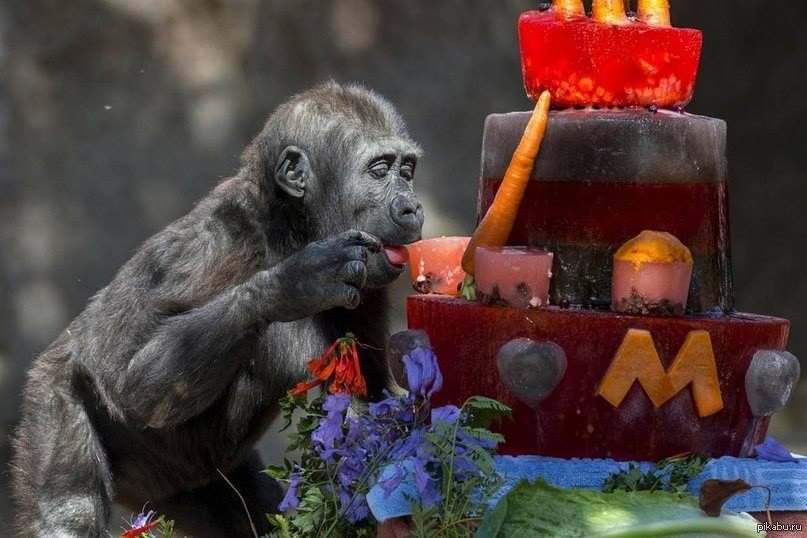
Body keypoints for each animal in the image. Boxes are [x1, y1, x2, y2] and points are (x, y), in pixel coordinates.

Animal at [12, 81, 426, 532]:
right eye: (379, 169)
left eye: (407, 171)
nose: (412, 207)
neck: (290, 225)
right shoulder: (212, 248)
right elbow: (138, 387)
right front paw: (292, 283)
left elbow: (373, 403)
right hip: (54, 394)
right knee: (68, 511)